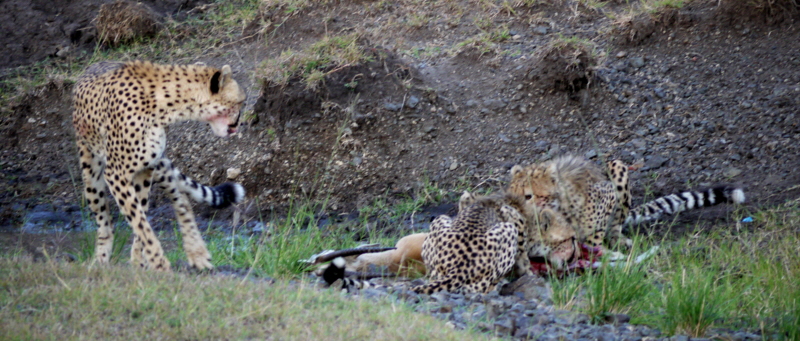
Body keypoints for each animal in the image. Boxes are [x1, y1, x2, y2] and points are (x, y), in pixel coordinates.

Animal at [72, 59, 247, 270]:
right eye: (240, 102)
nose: (239, 124)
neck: (166, 106)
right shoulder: (116, 174)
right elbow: (139, 221)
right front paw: (158, 263)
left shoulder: (145, 169)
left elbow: (141, 217)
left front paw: (140, 262)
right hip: (91, 172)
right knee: (104, 220)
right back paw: (100, 260)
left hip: (159, 168)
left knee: (182, 201)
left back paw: (197, 253)